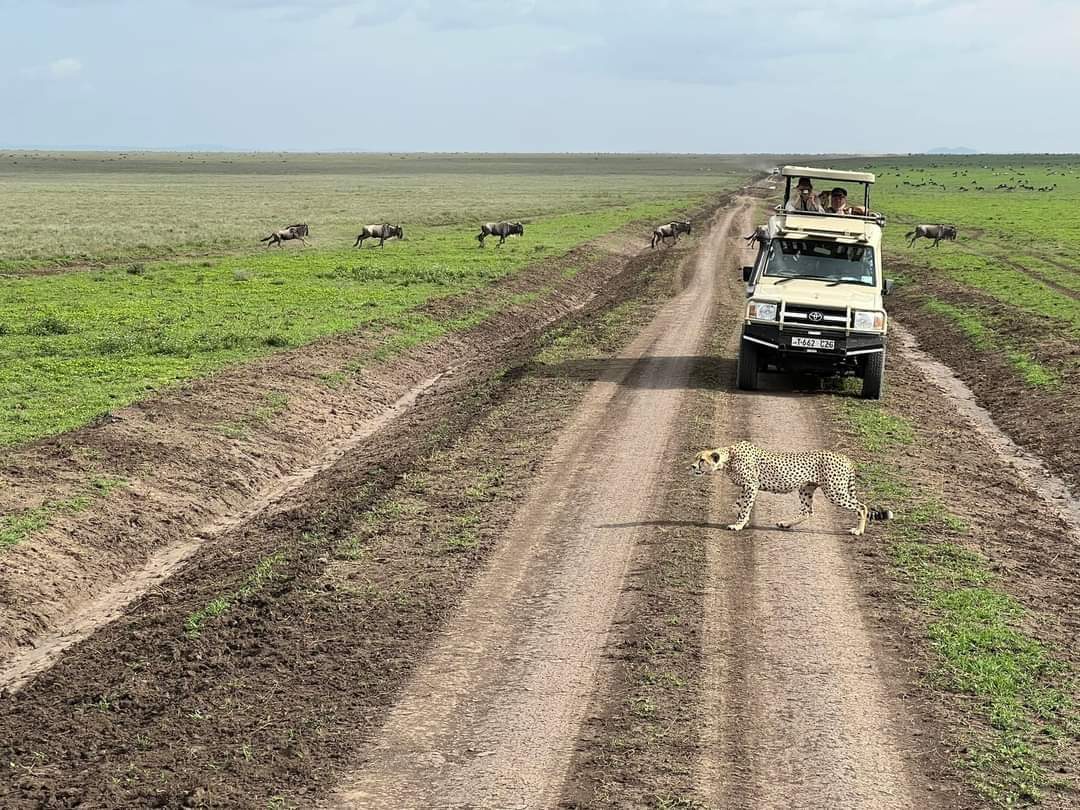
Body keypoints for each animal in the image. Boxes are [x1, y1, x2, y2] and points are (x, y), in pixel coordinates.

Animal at [691, 440, 894, 535]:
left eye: (702, 460)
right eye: (695, 458)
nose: (692, 467)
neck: (729, 457)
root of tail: (845, 457)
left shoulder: (751, 485)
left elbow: (744, 506)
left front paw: (739, 524)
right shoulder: (746, 487)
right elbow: (739, 504)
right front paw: (743, 519)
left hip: (835, 492)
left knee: (862, 507)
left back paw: (858, 530)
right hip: (806, 488)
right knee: (807, 511)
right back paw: (786, 523)